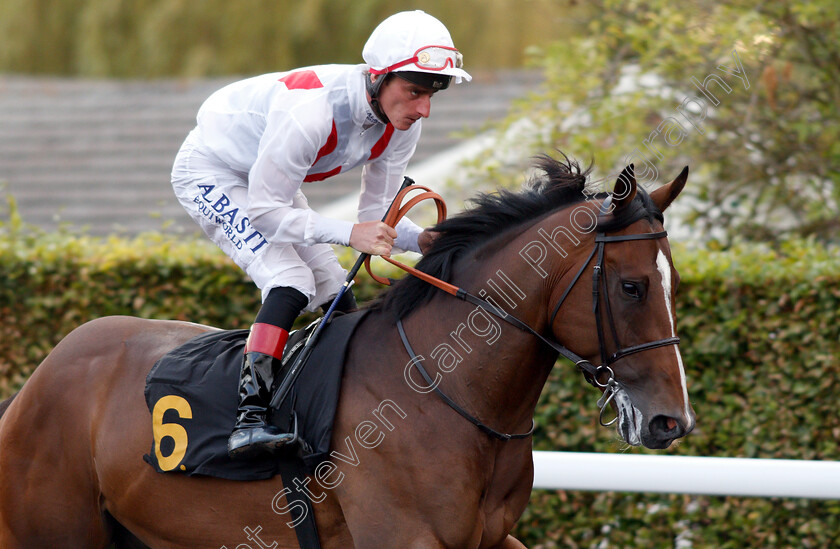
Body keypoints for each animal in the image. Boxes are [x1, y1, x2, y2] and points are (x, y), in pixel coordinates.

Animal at [0, 155, 696, 548]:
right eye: (632, 286)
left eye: (674, 284)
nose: (672, 421)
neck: (444, 393)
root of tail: (39, 377)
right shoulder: (404, 538)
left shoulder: (490, 539)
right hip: (50, 532)